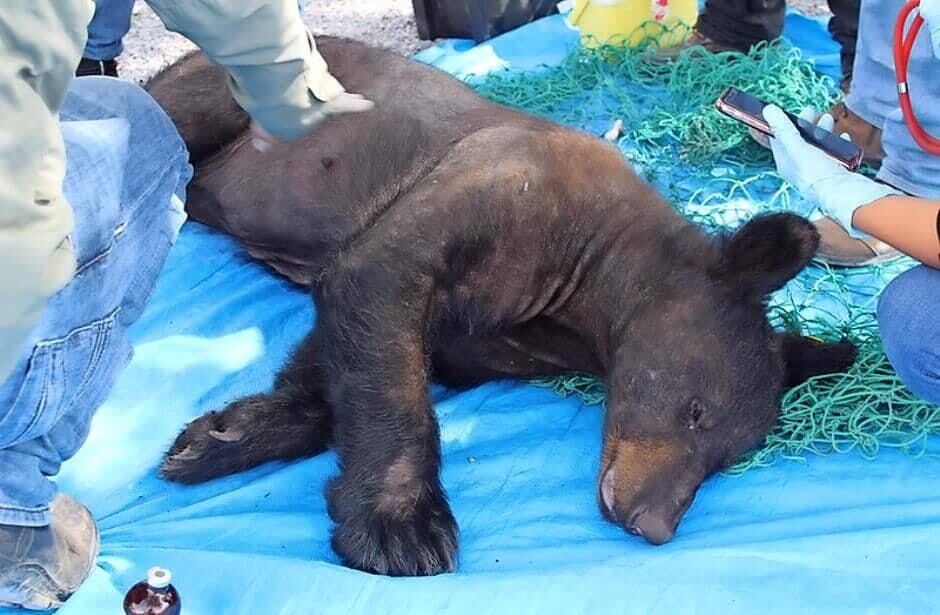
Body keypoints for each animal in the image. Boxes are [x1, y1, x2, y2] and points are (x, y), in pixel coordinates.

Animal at [146, 37, 857, 576]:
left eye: (729, 458)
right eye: (696, 411)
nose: (654, 524)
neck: (584, 282)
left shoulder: (504, 335)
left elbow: (347, 360)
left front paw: (226, 434)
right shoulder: (503, 180)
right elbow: (380, 310)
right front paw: (401, 524)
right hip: (214, 92)